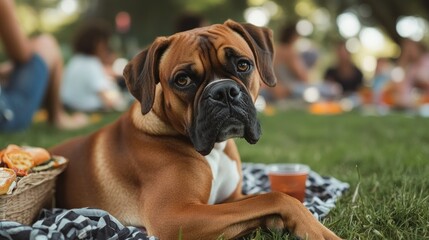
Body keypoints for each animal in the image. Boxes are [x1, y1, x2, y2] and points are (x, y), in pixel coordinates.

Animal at [50, 19, 340, 239]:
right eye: (183, 80)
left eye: (243, 65)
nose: (224, 91)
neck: (215, 151)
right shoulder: (174, 216)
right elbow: (276, 197)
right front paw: (316, 229)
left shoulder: (229, 199)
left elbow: (260, 198)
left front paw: (278, 222)